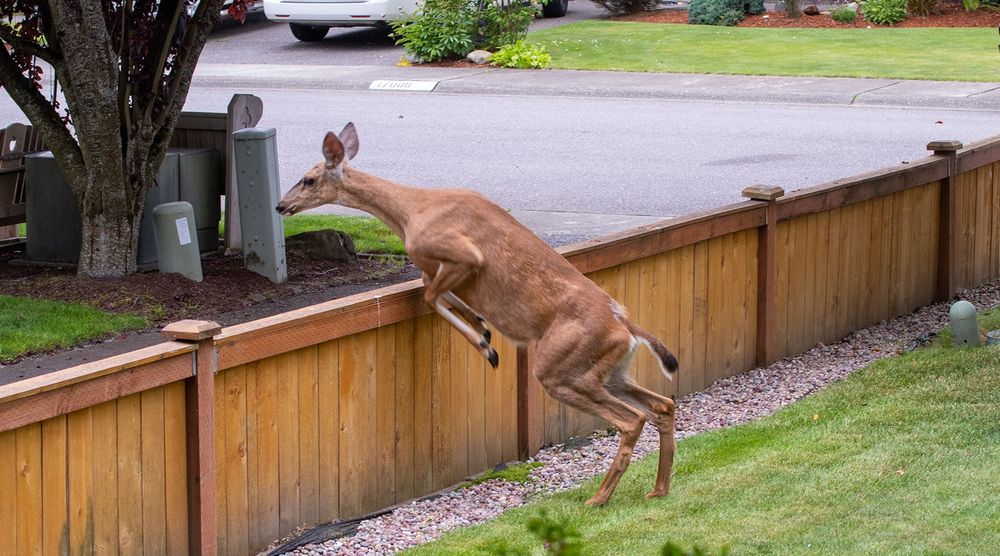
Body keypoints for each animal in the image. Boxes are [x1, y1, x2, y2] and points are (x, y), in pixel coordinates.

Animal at [275, 123, 679, 506]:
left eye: (308, 178)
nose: (280, 205)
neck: (410, 212)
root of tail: (626, 327)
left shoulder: (463, 255)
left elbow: (430, 295)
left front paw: (487, 345)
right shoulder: (437, 267)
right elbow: (438, 293)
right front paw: (483, 329)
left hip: (560, 368)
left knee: (632, 419)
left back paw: (598, 497)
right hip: (610, 372)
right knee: (663, 404)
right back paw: (657, 490)